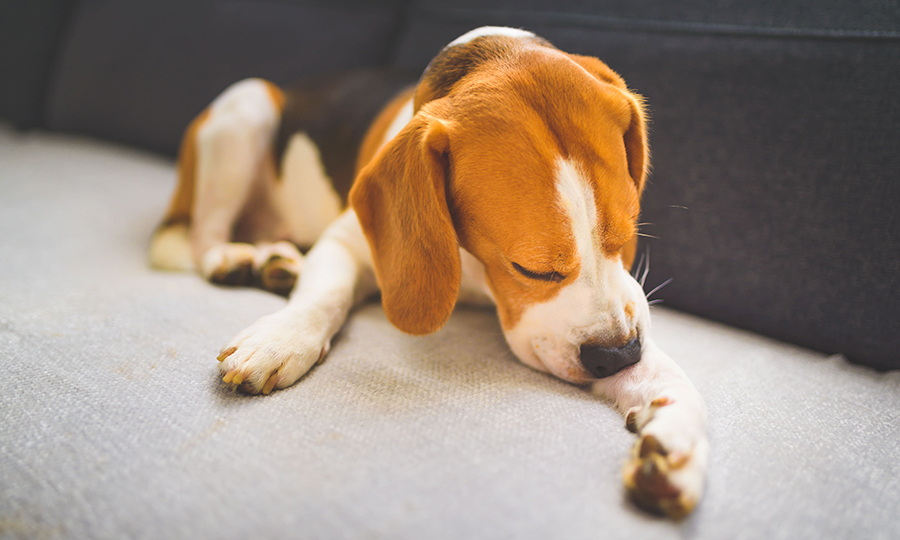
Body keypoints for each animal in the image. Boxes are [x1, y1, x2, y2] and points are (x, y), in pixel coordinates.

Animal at [149, 26, 712, 520]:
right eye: (531, 269)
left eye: (629, 234)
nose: (616, 356)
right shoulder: (345, 241)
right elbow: (325, 295)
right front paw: (281, 338)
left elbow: (665, 372)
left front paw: (678, 439)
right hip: (244, 107)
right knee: (201, 236)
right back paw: (237, 259)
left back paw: (275, 262)